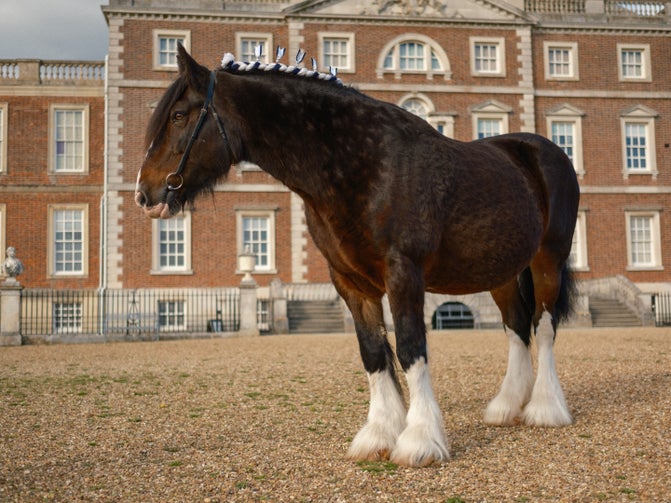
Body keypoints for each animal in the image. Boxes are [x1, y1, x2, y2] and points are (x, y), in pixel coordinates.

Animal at [135, 45, 580, 467]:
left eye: (178, 116)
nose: (145, 194)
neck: (361, 164)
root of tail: (541, 150)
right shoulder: (350, 283)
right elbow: (373, 353)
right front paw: (379, 436)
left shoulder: (404, 274)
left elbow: (410, 348)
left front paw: (419, 441)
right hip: (501, 272)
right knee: (516, 327)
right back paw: (506, 408)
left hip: (548, 261)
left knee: (543, 327)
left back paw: (545, 409)